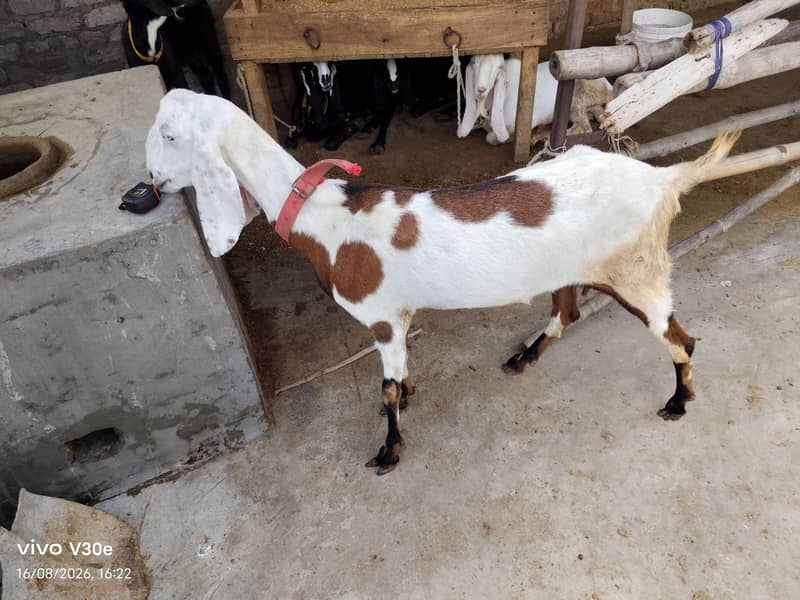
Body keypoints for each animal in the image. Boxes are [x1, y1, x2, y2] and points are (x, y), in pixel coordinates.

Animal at [147, 89, 740, 474]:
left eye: (170, 135)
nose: (146, 183)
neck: (325, 216)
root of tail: (663, 178)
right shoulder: (399, 316)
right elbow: (401, 375)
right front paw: (408, 398)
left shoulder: (381, 317)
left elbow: (384, 387)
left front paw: (389, 451)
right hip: (575, 266)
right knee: (568, 312)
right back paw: (525, 356)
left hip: (637, 271)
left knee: (680, 339)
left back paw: (679, 402)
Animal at [457, 54, 611, 146]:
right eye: (474, 62)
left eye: (498, 68)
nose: (481, 89)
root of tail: (608, 88)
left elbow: (490, 137)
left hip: (577, 96)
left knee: (583, 127)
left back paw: (541, 136)